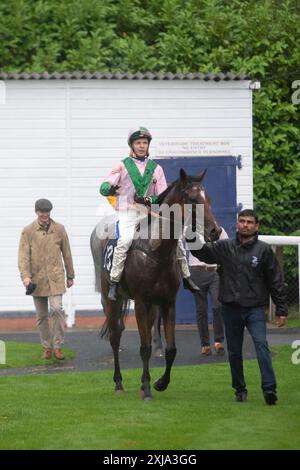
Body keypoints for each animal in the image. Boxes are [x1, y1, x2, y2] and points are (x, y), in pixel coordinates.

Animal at [90, 169, 219, 400]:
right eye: (193, 199)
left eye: (209, 199)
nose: (215, 231)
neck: (156, 251)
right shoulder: (141, 302)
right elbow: (145, 347)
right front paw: (148, 389)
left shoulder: (167, 303)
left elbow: (171, 349)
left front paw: (159, 383)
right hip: (111, 299)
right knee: (115, 337)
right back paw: (119, 383)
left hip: (150, 307)